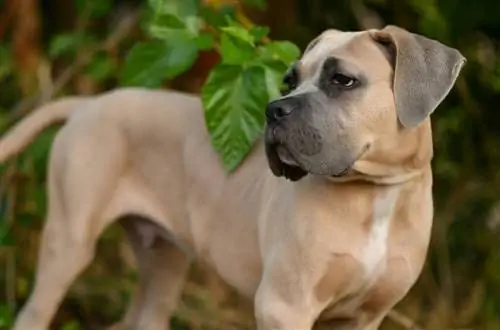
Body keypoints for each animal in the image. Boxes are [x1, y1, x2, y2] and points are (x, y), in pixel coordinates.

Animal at [0, 25, 464, 330]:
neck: (375, 192)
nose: (275, 110)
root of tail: (87, 105)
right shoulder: (284, 306)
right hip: (68, 244)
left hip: (163, 264)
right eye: (289, 80)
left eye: (342, 80)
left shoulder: (365, 316)